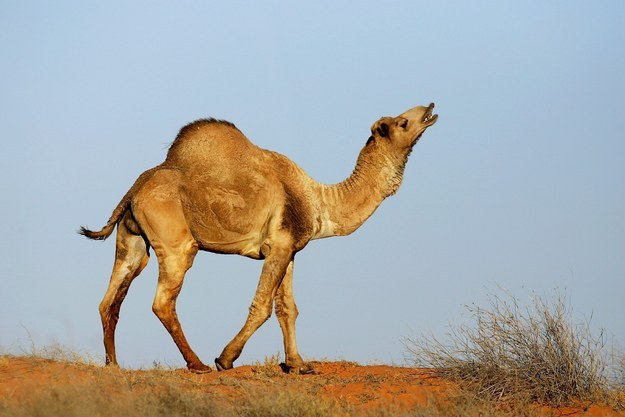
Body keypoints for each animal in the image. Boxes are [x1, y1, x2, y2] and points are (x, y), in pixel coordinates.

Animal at [79, 102, 438, 372]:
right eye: (402, 122)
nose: (430, 108)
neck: (319, 201)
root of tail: (135, 189)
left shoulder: (289, 249)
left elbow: (288, 309)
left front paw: (298, 365)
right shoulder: (278, 245)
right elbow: (262, 306)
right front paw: (226, 359)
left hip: (132, 240)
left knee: (110, 299)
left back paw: (113, 365)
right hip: (176, 243)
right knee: (163, 301)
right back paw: (198, 364)